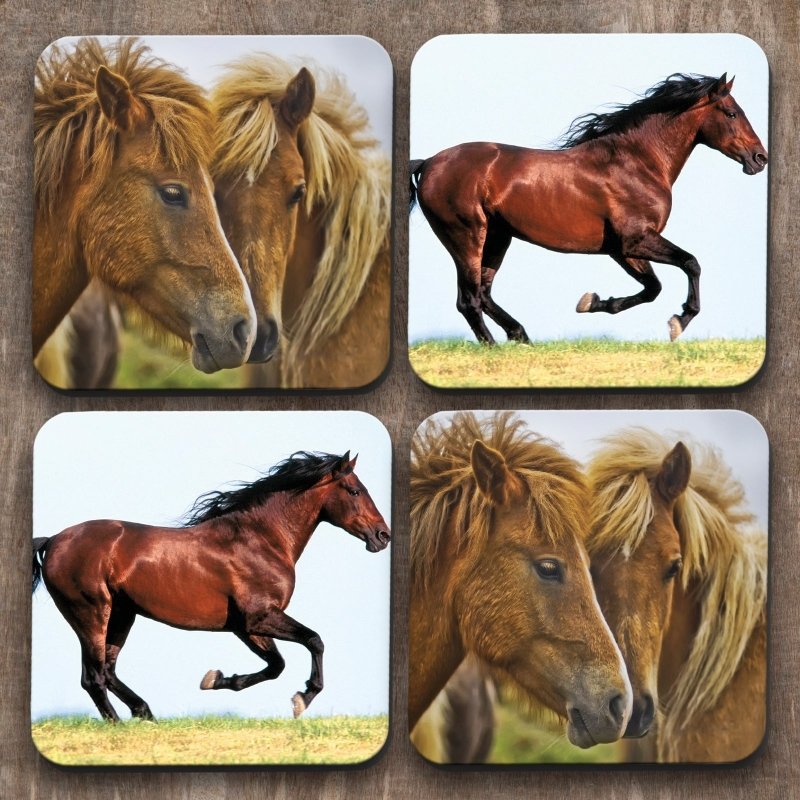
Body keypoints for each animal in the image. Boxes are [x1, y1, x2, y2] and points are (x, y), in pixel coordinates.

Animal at [32, 451, 390, 722]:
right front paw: (303, 698)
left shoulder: (245, 626)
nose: (382, 535)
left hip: (121, 616)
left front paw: (216, 680)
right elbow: (314, 641)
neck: (262, 539)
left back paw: (145, 713)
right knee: (93, 677)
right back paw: (120, 724)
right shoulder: (259, 617)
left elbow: (276, 665)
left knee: (107, 671)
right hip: (91, 614)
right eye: (355, 491)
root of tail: (53, 540)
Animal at [409, 73, 767, 344]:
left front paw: (592, 302)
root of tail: (428, 163)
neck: (638, 162)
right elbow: (690, 263)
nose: (759, 158)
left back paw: (521, 336)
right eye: (732, 113)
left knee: (483, 294)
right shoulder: (635, 240)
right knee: (468, 300)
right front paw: (680, 320)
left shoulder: (622, 249)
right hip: (467, 236)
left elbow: (653, 287)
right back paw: (496, 348)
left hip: (498, 238)